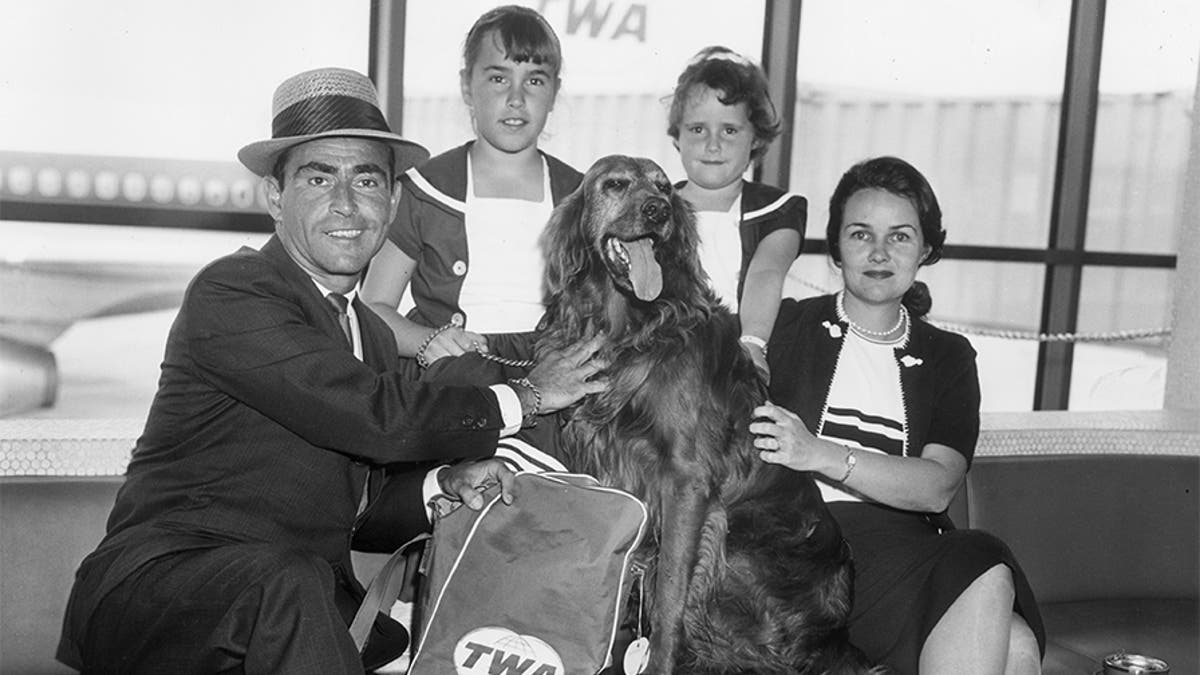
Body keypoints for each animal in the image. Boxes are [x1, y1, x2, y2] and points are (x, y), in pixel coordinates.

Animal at [535, 154, 873, 667]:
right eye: (615, 184)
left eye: (663, 189)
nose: (657, 211)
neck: (631, 327)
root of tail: (835, 636)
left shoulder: (685, 481)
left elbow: (670, 594)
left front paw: (655, 660)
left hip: (742, 537)